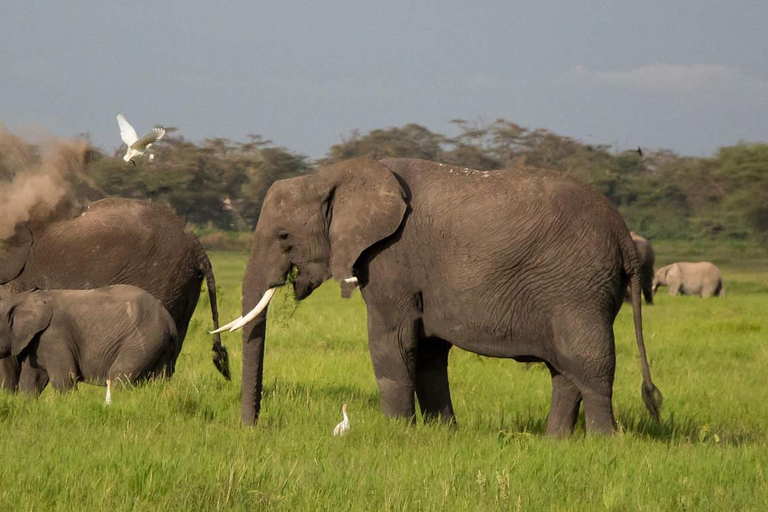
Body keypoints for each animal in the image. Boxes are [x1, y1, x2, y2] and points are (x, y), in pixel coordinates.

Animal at [0, 284, 178, 400]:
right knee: (159, 379)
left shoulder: (53, 336)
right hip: (160, 344)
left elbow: (64, 378)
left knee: (119, 376)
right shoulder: (35, 342)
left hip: (142, 340)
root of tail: (168, 319)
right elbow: (31, 379)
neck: (23, 298)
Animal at [216, 157, 660, 436]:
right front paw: (442, 433)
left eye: (283, 237)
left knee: (589, 362)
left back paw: (603, 441)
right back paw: (557, 442)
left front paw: (397, 432)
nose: (251, 428)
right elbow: (428, 350)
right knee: (565, 371)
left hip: (578, 288)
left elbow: (392, 340)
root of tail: (622, 231)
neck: (332, 175)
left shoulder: (390, 258)